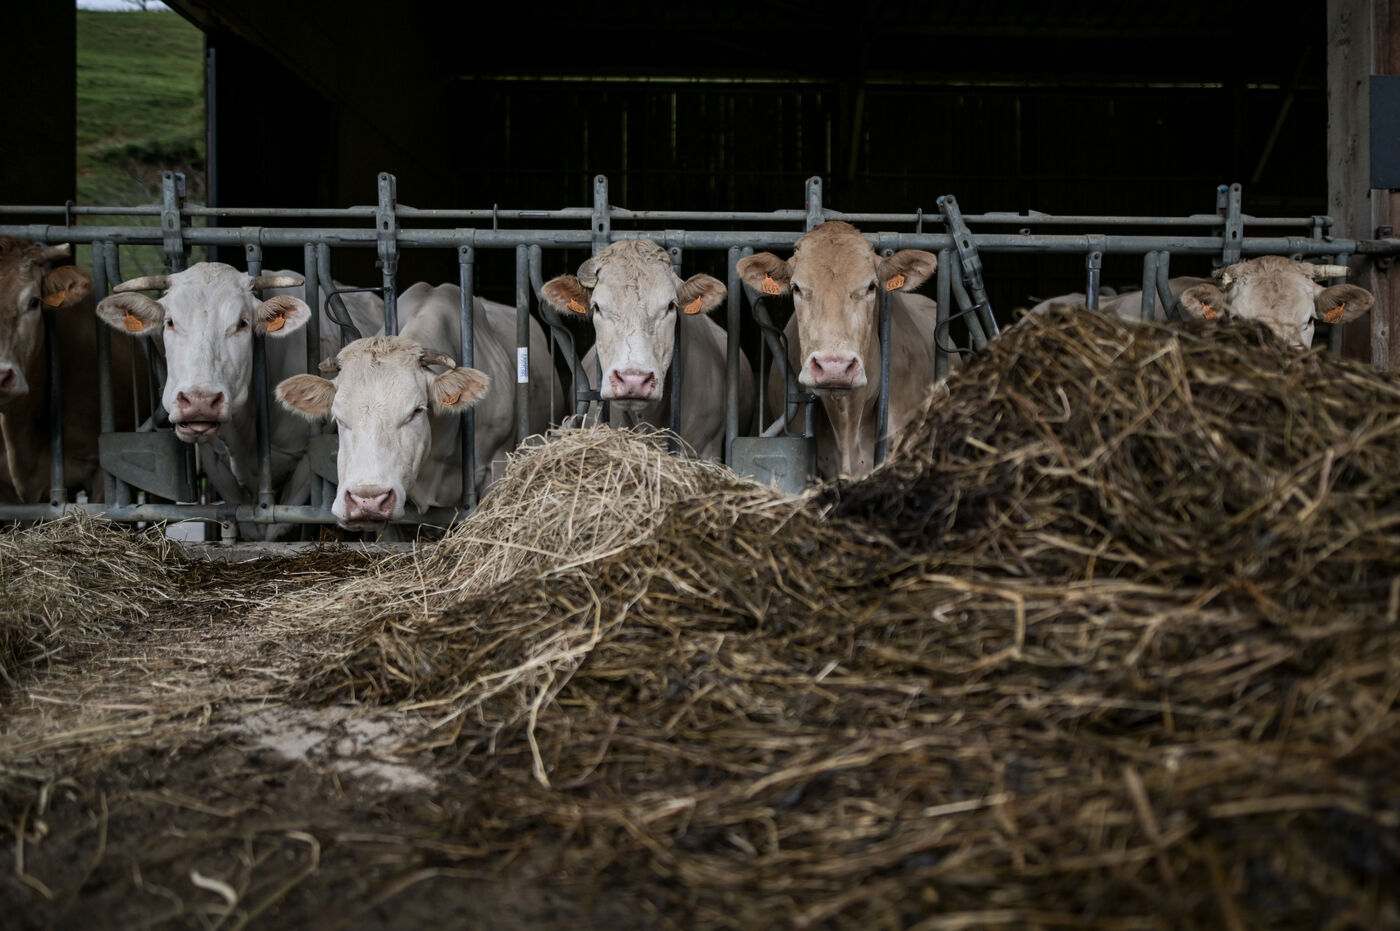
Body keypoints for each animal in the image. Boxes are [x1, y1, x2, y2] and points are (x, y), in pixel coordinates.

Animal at [94, 262, 384, 537]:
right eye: (170, 322)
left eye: (242, 323)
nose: (200, 400)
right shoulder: (214, 460)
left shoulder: (307, 458)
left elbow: (278, 528)